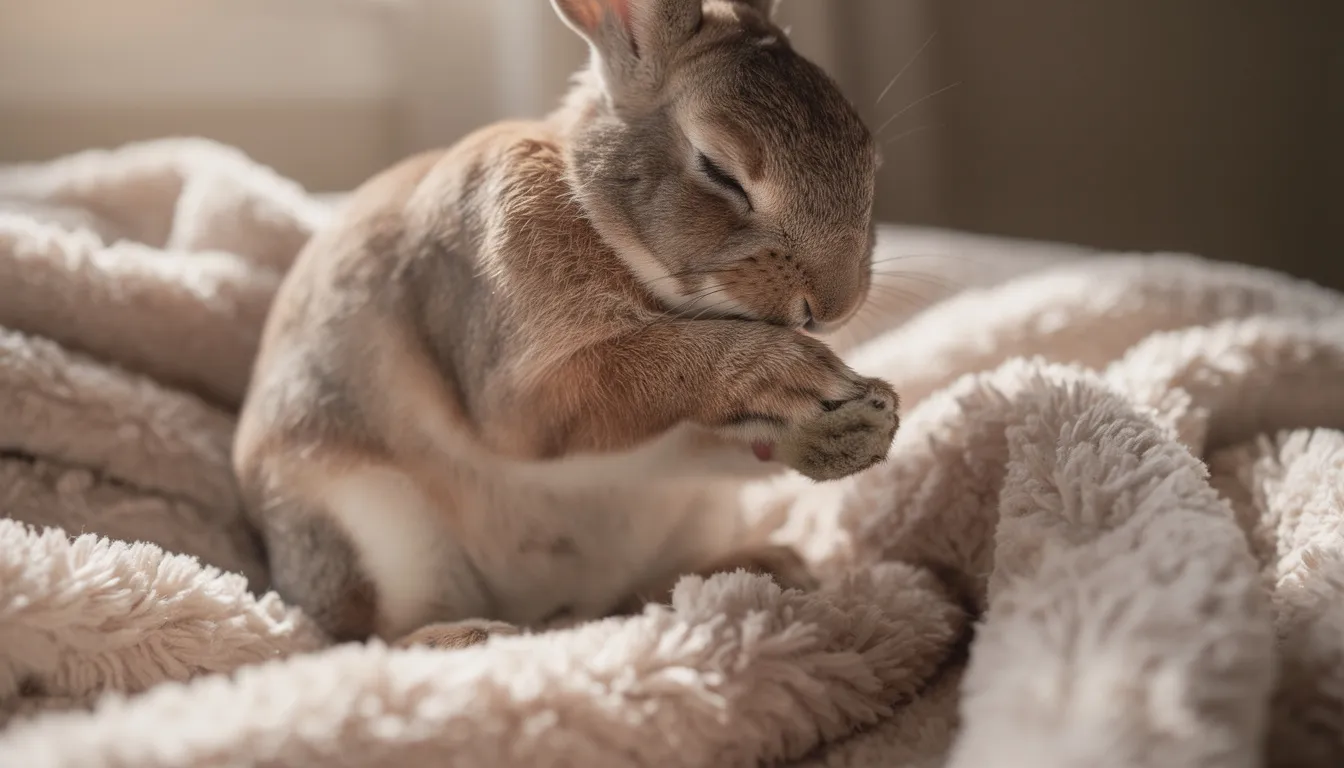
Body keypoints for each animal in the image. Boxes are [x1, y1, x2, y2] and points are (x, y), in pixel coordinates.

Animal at [232, 0, 898, 649]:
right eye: (718, 170)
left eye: (870, 156)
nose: (835, 304)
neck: (597, 214)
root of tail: (557, 607)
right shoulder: (524, 387)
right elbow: (651, 371)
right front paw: (797, 380)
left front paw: (861, 427)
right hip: (371, 523)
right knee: (365, 639)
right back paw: (473, 637)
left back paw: (769, 566)